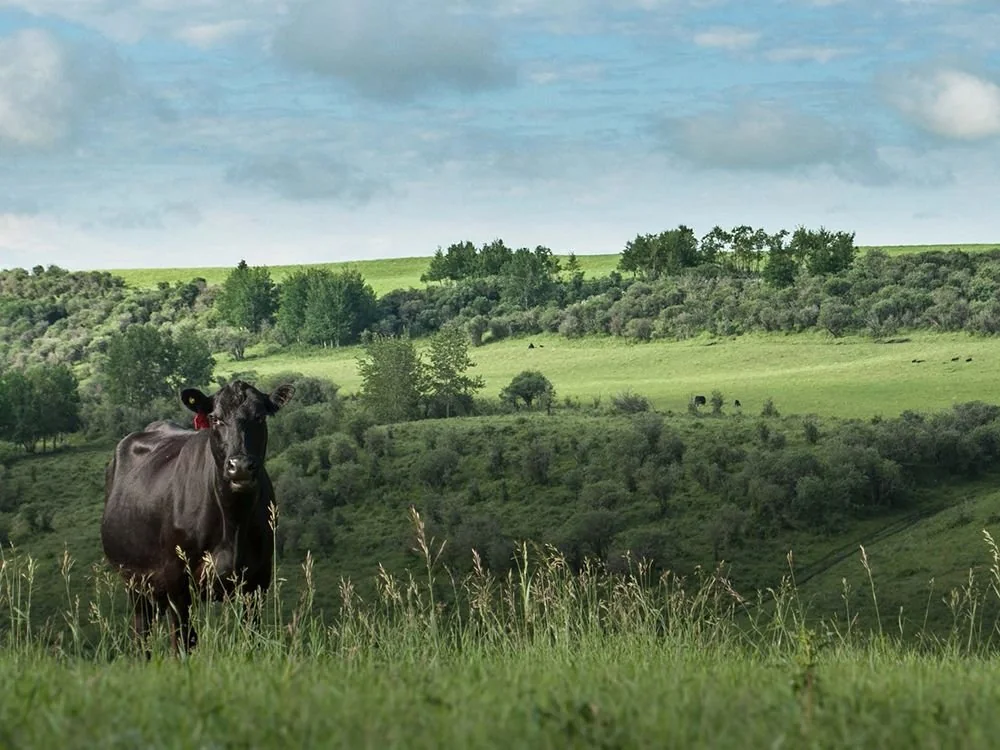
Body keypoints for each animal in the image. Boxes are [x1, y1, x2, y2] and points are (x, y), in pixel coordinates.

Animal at [103, 378, 294, 656]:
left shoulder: (258, 580)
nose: (240, 467)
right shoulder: (177, 582)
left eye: (260, 417)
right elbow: (184, 643)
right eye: (215, 418)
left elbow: (253, 638)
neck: (233, 521)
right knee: (142, 635)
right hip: (135, 582)